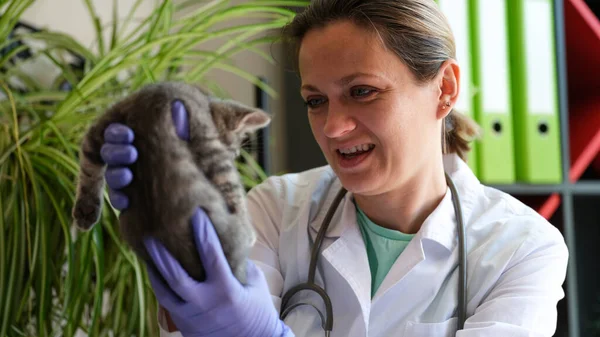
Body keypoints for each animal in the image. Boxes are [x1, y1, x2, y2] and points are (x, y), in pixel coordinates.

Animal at [70, 81, 270, 284]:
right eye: (234, 153)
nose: (235, 155)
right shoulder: (204, 133)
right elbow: (231, 189)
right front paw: (249, 231)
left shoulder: (108, 119)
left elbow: (89, 166)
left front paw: (86, 210)